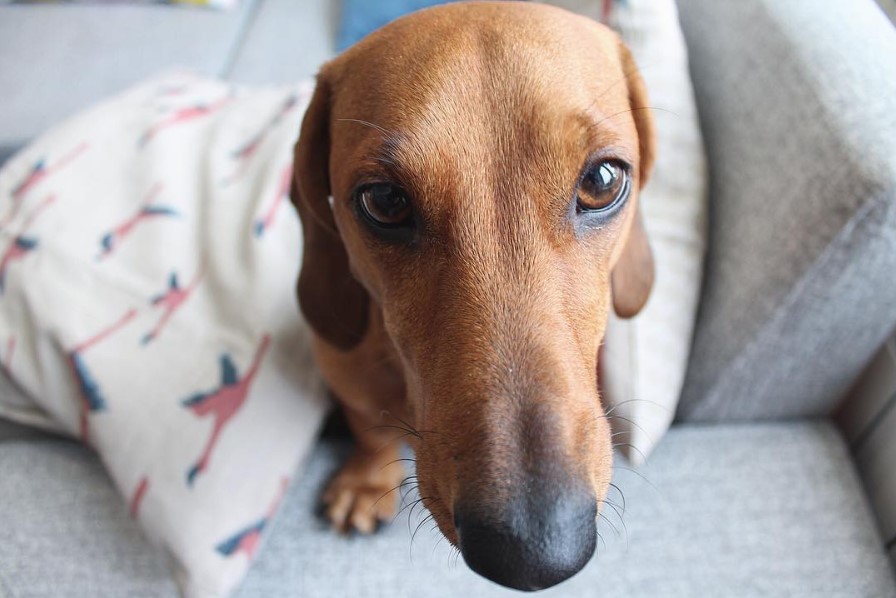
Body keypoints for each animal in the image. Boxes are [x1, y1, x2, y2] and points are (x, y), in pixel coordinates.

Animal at [290, 0, 656, 592]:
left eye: (602, 180)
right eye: (384, 200)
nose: (534, 552)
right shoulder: (348, 379)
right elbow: (369, 432)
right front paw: (366, 481)